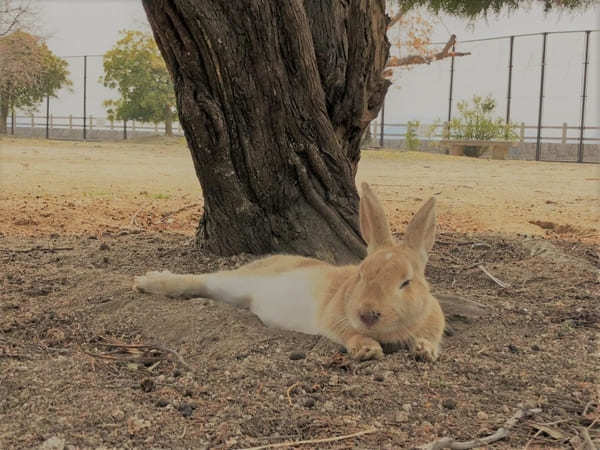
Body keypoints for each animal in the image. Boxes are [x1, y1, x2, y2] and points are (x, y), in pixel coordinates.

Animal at [136, 181, 446, 360]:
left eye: (406, 282)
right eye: (361, 274)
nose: (367, 314)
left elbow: (430, 339)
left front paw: (424, 351)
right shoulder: (334, 318)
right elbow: (348, 333)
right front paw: (367, 350)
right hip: (236, 281)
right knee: (200, 280)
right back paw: (146, 281)